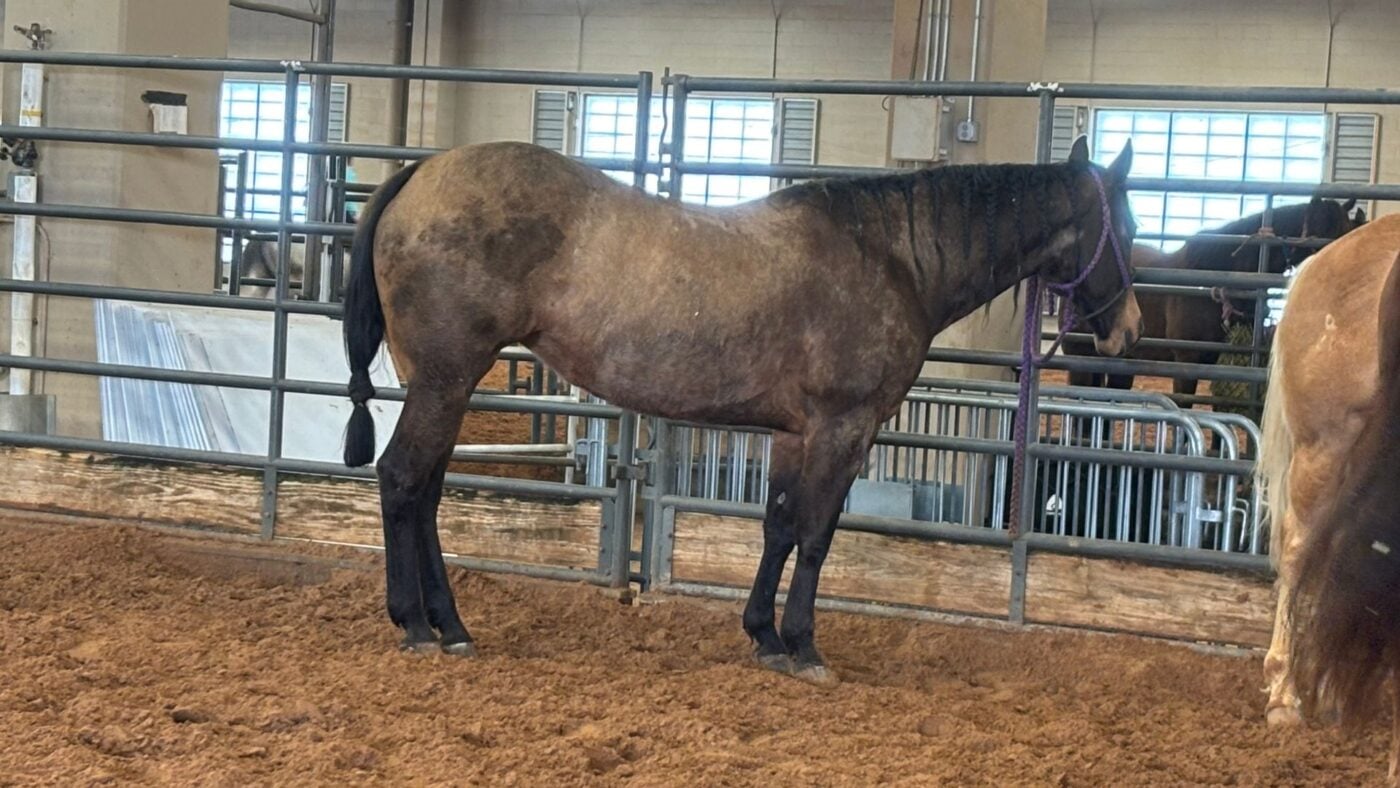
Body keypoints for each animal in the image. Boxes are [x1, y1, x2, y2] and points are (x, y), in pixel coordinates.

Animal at [338, 136, 1141, 684]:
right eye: (1129, 230)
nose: (1128, 331)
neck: (892, 260)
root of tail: (419, 174)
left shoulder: (796, 433)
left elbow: (779, 526)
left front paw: (763, 636)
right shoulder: (844, 429)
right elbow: (816, 535)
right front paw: (805, 645)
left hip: (442, 384)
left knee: (427, 492)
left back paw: (450, 624)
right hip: (445, 382)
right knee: (402, 480)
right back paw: (416, 626)